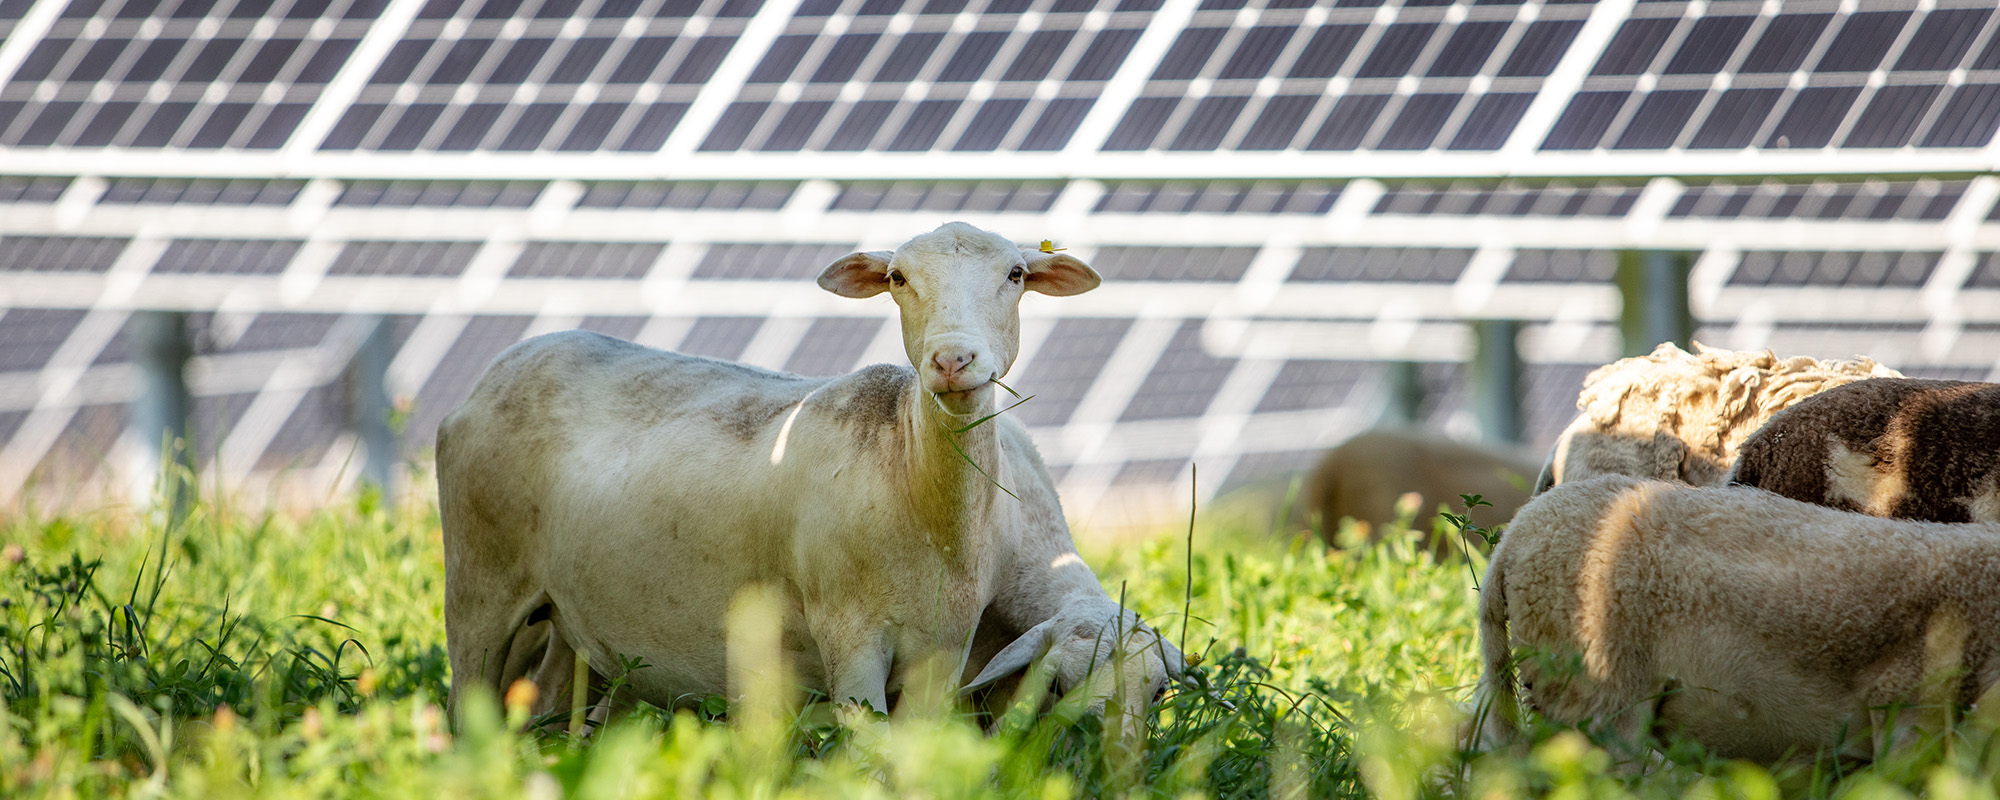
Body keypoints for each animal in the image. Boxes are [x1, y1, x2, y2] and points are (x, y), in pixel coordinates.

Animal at [437, 222, 1184, 725]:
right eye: (897, 279)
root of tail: (510, 360)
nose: (951, 360)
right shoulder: (849, 639)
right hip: (480, 591)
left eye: (1017, 276)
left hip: (572, 623)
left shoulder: (940, 656)